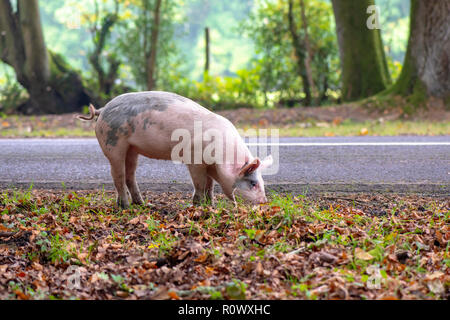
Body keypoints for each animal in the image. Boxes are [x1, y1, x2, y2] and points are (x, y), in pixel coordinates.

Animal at [77, 91, 272, 209]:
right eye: (253, 183)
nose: (264, 202)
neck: (221, 158)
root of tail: (102, 109)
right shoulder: (194, 159)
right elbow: (200, 184)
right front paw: (198, 206)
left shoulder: (209, 166)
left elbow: (210, 186)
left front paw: (211, 206)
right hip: (113, 143)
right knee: (117, 175)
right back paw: (125, 206)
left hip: (132, 149)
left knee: (129, 175)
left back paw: (142, 204)